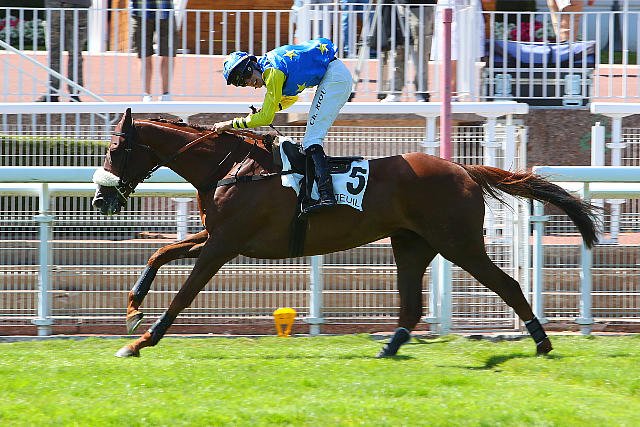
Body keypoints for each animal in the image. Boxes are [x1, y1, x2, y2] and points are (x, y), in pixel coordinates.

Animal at [92, 108, 599, 358]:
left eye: (115, 149)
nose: (99, 200)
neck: (231, 167)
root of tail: (465, 169)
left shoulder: (224, 244)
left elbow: (183, 295)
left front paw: (140, 342)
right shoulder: (215, 236)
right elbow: (160, 253)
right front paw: (134, 309)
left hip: (459, 243)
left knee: (508, 284)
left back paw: (542, 342)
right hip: (411, 244)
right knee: (412, 305)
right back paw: (389, 348)